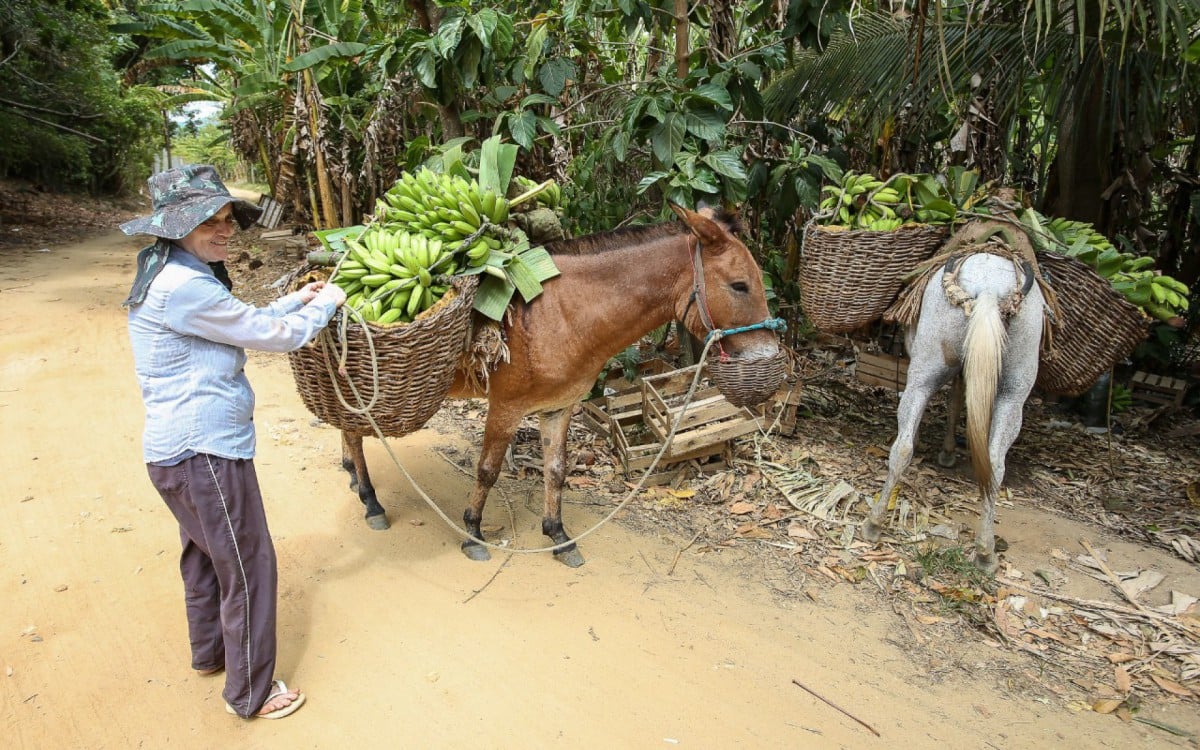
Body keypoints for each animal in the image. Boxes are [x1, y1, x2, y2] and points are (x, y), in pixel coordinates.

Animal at [859, 252, 1046, 573]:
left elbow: (952, 401)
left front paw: (944, 450)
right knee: (995, 465)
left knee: (902, 447)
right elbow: (959, 399)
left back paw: (874, 523)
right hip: (1014, 392)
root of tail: (991, 288)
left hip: (926, 368)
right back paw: (986, 553)